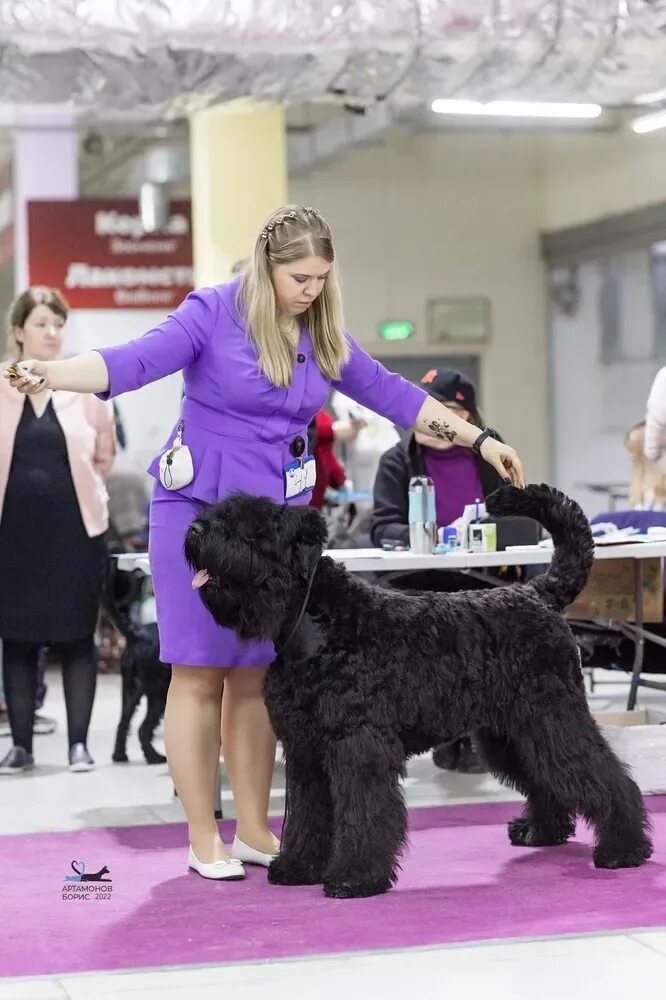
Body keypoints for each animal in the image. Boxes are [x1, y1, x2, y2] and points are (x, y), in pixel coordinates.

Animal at [184, 484, 652, 900]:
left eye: (252, 528)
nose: (195, 531)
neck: (323, 624)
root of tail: (540, 593)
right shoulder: (306, 750)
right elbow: (306, 815)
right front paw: (297, 867)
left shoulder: (357, 747)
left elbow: (362, 812)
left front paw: (354, 878)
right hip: (513, 732)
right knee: (546, 778)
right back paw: (541, 832)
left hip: (552, 719)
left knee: (605, 777)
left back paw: (623, 849)